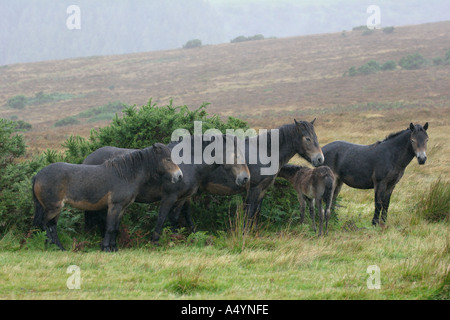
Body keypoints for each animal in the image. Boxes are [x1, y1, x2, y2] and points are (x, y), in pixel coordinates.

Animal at [31, 144, 183, 251]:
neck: (124, 175)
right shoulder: (114, 206)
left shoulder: (121, 208)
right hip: (53, 208)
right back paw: (53, 245)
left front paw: (114, 247)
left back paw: (59, 247)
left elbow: (115, 227)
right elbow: (109, 227)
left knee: (52, 226)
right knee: (43, 224)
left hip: (55, 209)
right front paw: (105, 248)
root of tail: (37, 175)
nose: (180, 176)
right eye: (168, 159)